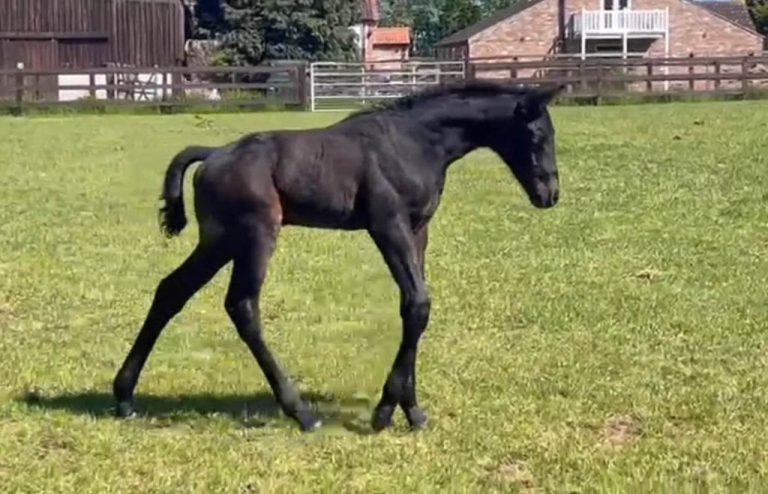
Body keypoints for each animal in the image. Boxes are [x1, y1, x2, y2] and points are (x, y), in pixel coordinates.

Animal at [112, 80, 564, 433]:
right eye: (538, 136)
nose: (550, 195)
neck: (413, 142)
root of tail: (213, 154)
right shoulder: (387, 225)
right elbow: (418, 303)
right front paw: (384, 412)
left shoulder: (418, 231)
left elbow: (414, 308)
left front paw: (413, 411)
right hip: (255, 236)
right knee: (242, 305)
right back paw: (301, 412)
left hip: (220, 241)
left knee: (172, 290)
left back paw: (124, 397)